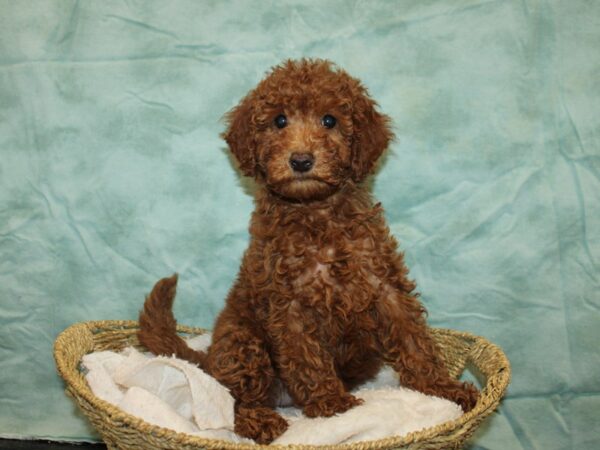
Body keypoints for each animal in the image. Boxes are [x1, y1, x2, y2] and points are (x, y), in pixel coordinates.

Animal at [139, 59, 478, 442]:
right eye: (279, 121)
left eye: (329, 120)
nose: (301, 161)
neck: (316, 212)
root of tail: (209, 358)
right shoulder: (288, 303)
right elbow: (306, 357)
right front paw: (331, 403)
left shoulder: (384, 284)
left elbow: (413, 340)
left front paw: (442, 388)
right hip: (242, 341)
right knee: (233, 402)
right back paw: (260, 420)